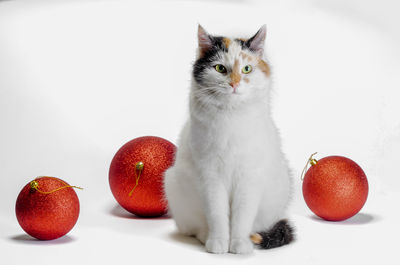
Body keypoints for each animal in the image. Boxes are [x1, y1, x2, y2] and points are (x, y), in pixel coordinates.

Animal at [163, 25, 294, 254]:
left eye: (247, 69)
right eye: (220, 69)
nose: (234, 83)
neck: (230, 116)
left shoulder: (249, 177)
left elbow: (242, 216)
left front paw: (239, 244)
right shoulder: (211, 177)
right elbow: (217, 214)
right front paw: (218, 243)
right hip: (174, 183)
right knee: (194, 228)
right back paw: (205, 236)